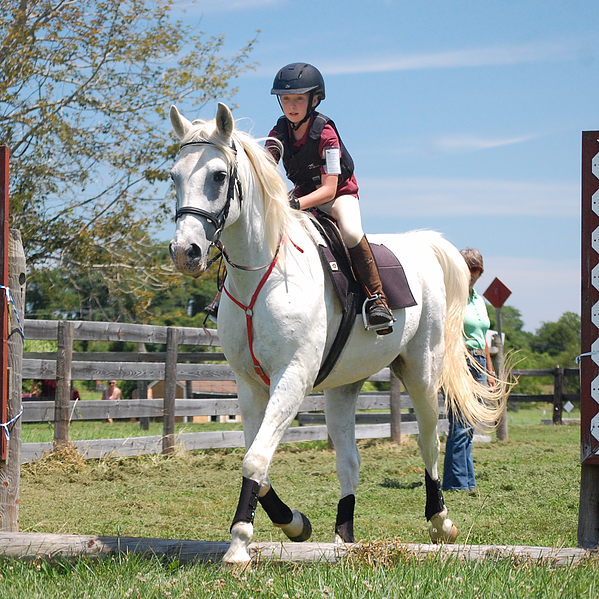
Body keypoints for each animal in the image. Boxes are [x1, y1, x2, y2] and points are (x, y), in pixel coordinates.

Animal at [166, 104, 504, 568]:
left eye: (218, 175)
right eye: (174, 176)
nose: (186, 252)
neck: (262, 274)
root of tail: (422, 247)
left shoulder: (292, 377)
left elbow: (255, 461)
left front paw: (238, 545)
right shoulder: (249, 385)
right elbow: (259, 464)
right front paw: (294, 524)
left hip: (421, 371)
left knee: (429, 442)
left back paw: (441, 522)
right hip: (344, 386)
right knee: (349, 461)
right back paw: (344, 534)